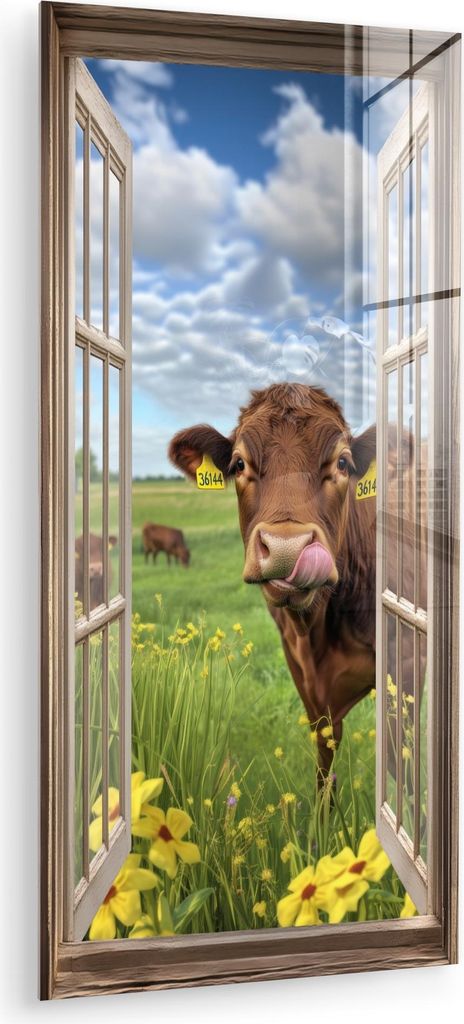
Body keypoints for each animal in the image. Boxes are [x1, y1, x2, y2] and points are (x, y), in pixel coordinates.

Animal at [168, 382, 417, 781]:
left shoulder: (407, 664)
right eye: (239, 463)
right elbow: (325, 755)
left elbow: (400, 767)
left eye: (343, 463)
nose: (288, 548)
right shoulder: (302, 671)